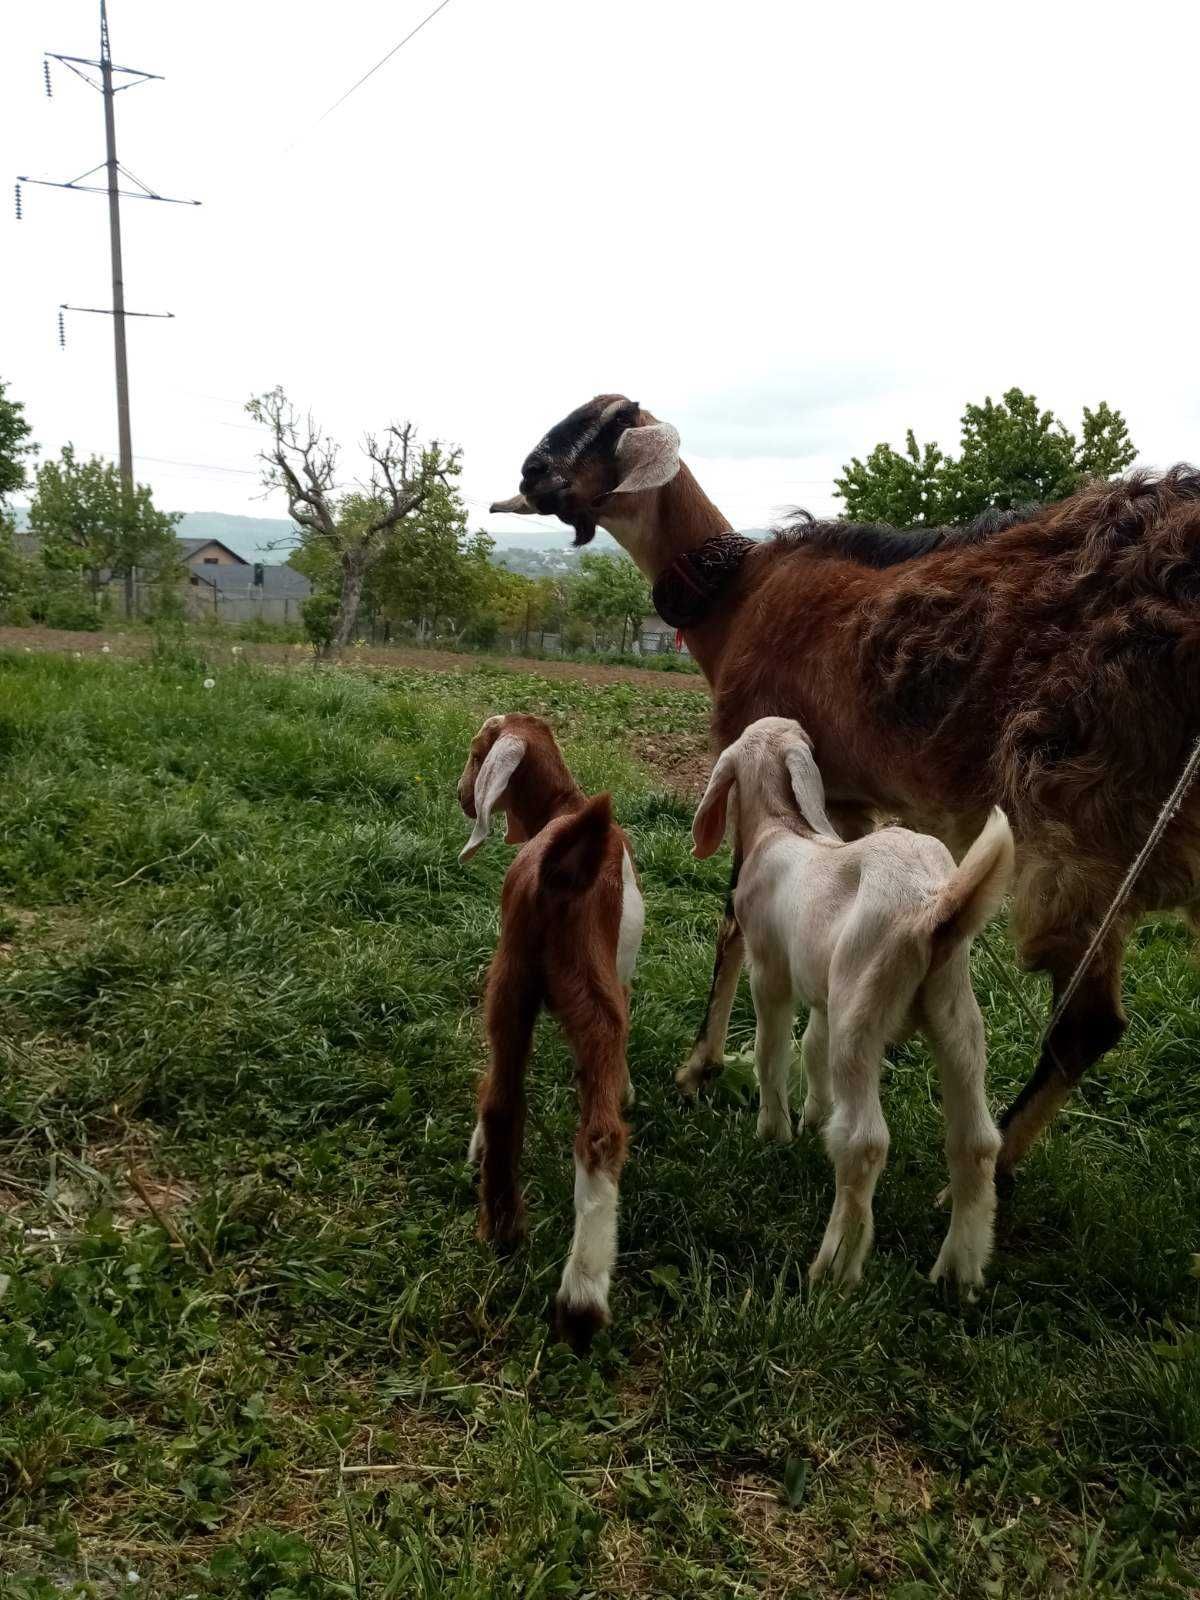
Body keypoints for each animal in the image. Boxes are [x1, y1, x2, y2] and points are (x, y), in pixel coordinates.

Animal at [489, 396, 1200, 1177]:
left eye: (606, 421)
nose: (529, 471)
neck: (740, 598)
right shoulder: (844, 801)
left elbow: (732, 921)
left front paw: (701, 1067)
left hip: (1084, 818)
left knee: (1086, 1023)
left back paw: (982, 1175)